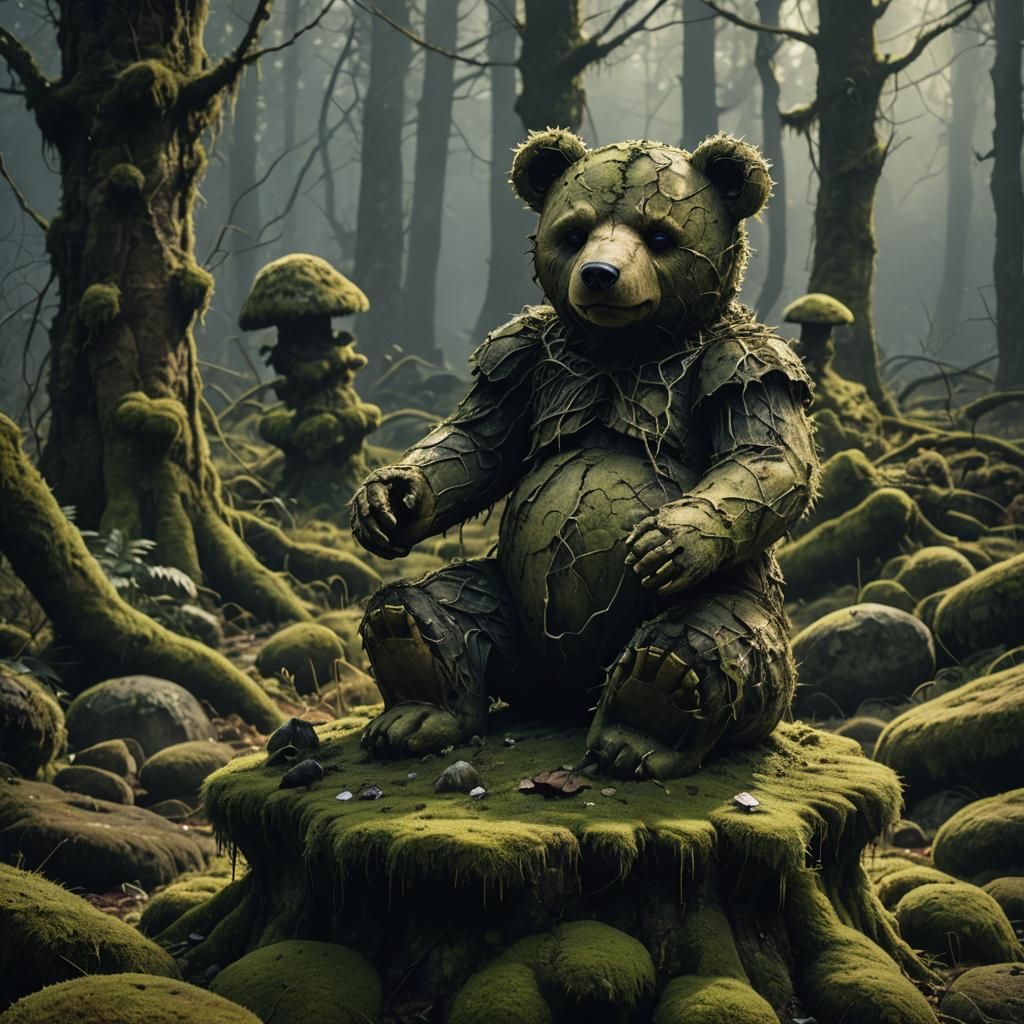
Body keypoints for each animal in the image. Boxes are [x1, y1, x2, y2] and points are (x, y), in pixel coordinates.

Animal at [349, 129, 820, 779]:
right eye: (573, 232)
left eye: (659, 235)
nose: (599, 274)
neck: (621, 349)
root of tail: (568, 701)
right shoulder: (524, 356)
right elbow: (478, 443)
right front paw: (389, 497)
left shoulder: (744, 357)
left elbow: (769, 457)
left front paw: (670, 537)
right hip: (515, 603)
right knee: (454, 602)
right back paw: (412, 682)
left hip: (746, 600)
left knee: (714, 638)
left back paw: (650, 706)